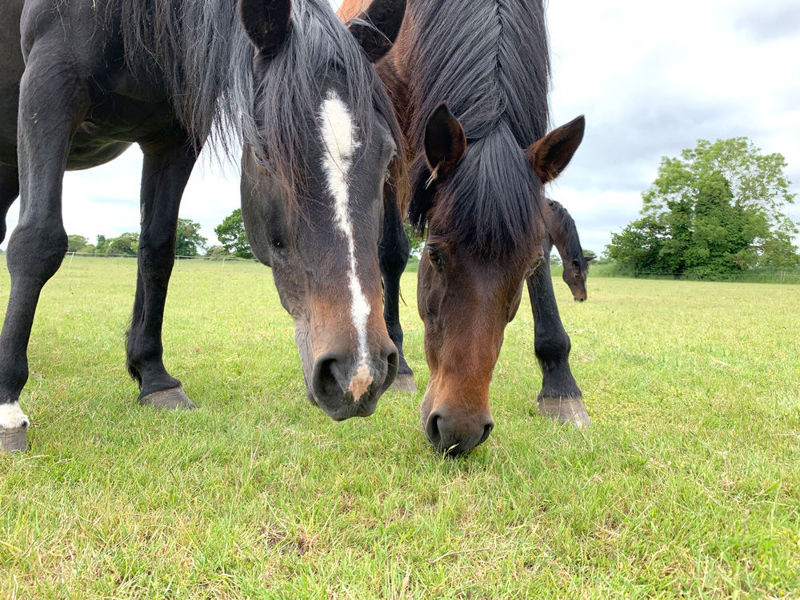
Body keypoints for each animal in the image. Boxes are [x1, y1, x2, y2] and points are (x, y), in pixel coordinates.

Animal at [0, 0, 410, 452]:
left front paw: (154, 379)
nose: (359, 373)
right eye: (265, 153)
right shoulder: (49, 83)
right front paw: (8, 408)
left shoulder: (174, 135)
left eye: (388, 157)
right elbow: (37, 241)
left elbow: (157, 251)